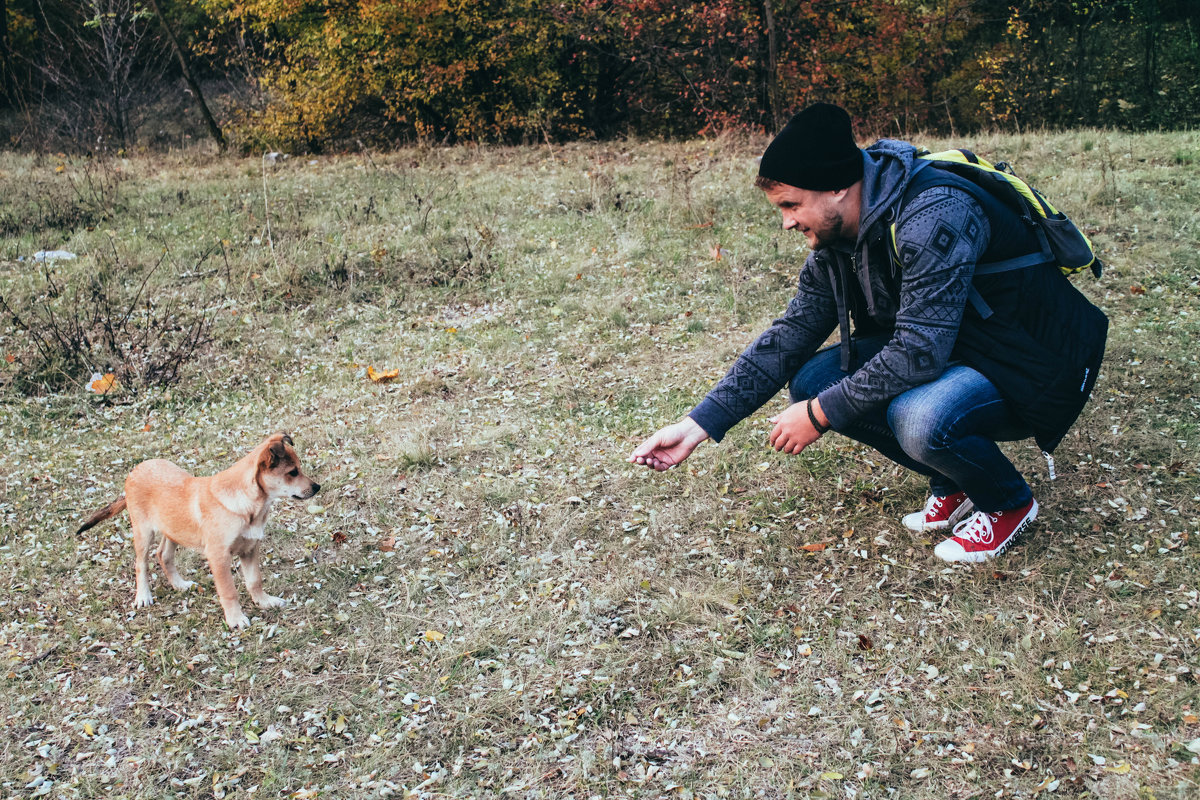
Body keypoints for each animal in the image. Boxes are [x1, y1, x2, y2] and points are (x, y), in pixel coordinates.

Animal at [76, 434, 321, 628]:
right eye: (292, 472)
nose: (317, 487)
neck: (249, 504)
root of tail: (136, 469)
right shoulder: (219, 556)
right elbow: (229, 591)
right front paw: (236, 619)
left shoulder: (249, 549)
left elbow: (254, 581)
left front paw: (265, 602)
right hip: (143, 532)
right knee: (141, 564)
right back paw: (143, 596)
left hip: (173, 528)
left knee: (163, 555)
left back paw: (179, 584)